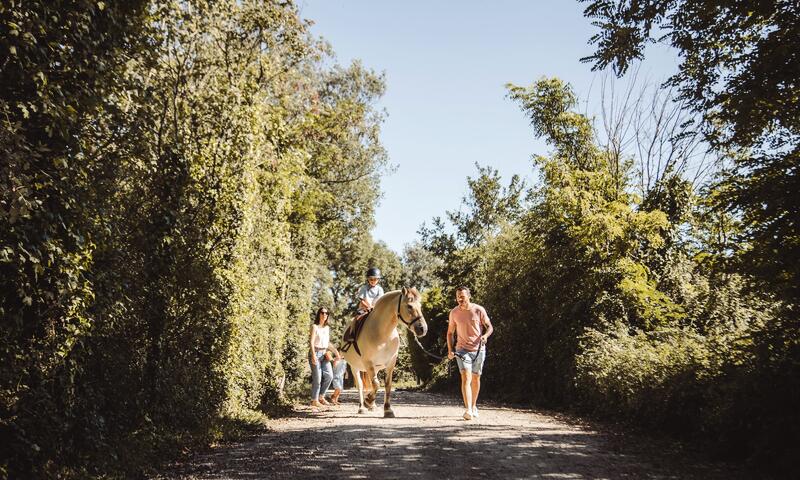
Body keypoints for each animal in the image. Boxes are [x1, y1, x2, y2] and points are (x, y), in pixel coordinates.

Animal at [342, 288, 428, 416]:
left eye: (420, 306)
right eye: (409, 306)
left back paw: (372, 406)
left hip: (375, 368)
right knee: (360, 386)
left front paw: (387, 409)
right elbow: (376, 384)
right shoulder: (368, 363)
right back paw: (362, 407)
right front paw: (368, 400)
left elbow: (387, 385)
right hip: (355, 367)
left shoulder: (390, 363)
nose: (422, 329)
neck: (382, 332)